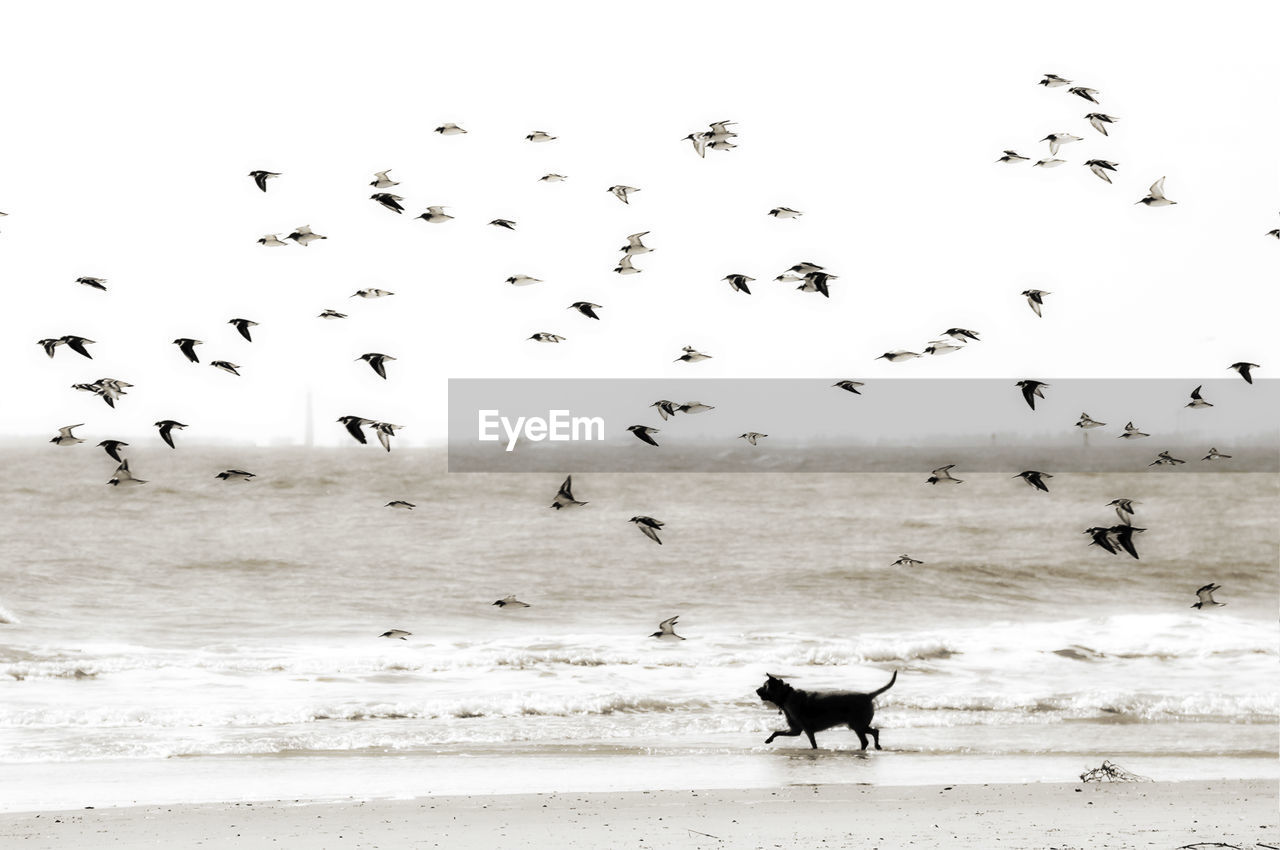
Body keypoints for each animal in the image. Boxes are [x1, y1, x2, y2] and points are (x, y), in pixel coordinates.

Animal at [752, 670, 896, 752]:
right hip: (858, 725)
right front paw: (769, 739)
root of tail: (867, 695)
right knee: (874, 732)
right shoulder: (795, 730)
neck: (786, 695)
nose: (756, 690)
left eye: (764, 686)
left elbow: (813, 744)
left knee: (867, 738)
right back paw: (875, 746)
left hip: (857, 725)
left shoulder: (806, 730)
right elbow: (776, 732)